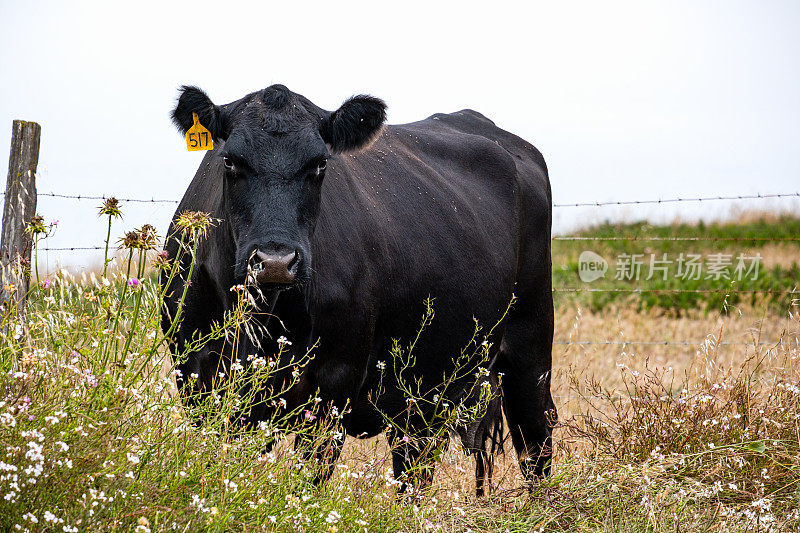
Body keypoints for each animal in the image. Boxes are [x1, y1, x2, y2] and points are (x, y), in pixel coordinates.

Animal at [162, 83, 556, 490]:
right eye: (229, 161)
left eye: (320, 164)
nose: (275, 260)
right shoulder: (196, 378)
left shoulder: (334, 384)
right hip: (424, 397)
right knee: (414, 470)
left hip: (530, 344)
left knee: (536, 442)